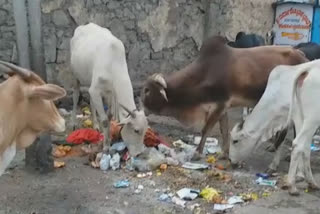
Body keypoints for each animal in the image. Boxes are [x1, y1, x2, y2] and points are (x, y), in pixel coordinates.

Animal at [70, 23, 148, 157]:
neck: (114, 62)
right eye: (136, 130)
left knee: (91, 101)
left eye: (146, 130)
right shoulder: (95, 90)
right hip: (75, 76)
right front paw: (106, 147)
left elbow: (110, 116)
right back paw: (74, 122)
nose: (138, 154)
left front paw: (108, 138)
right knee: (75, 96)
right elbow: (105, 120)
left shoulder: (110, 93)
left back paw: (96, 125)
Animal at [141, 35, 308, 159]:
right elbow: (224, 130)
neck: (205, 72)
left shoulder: (220, 104)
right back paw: (274, 146)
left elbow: (206, 130)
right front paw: (224, 153)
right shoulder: (222, 107)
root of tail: (302, 56)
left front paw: (197, 153)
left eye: (147, 90)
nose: (140, 104)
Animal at [230, 59, 320, 196]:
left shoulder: (293, 117)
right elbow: (284, 141)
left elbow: (282, 139)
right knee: (300, 144)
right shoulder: (296, 117)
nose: (230, 161)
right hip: (312, 118)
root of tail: (308, 69)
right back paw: (301, 184)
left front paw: (299, 174)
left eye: (235, 141)